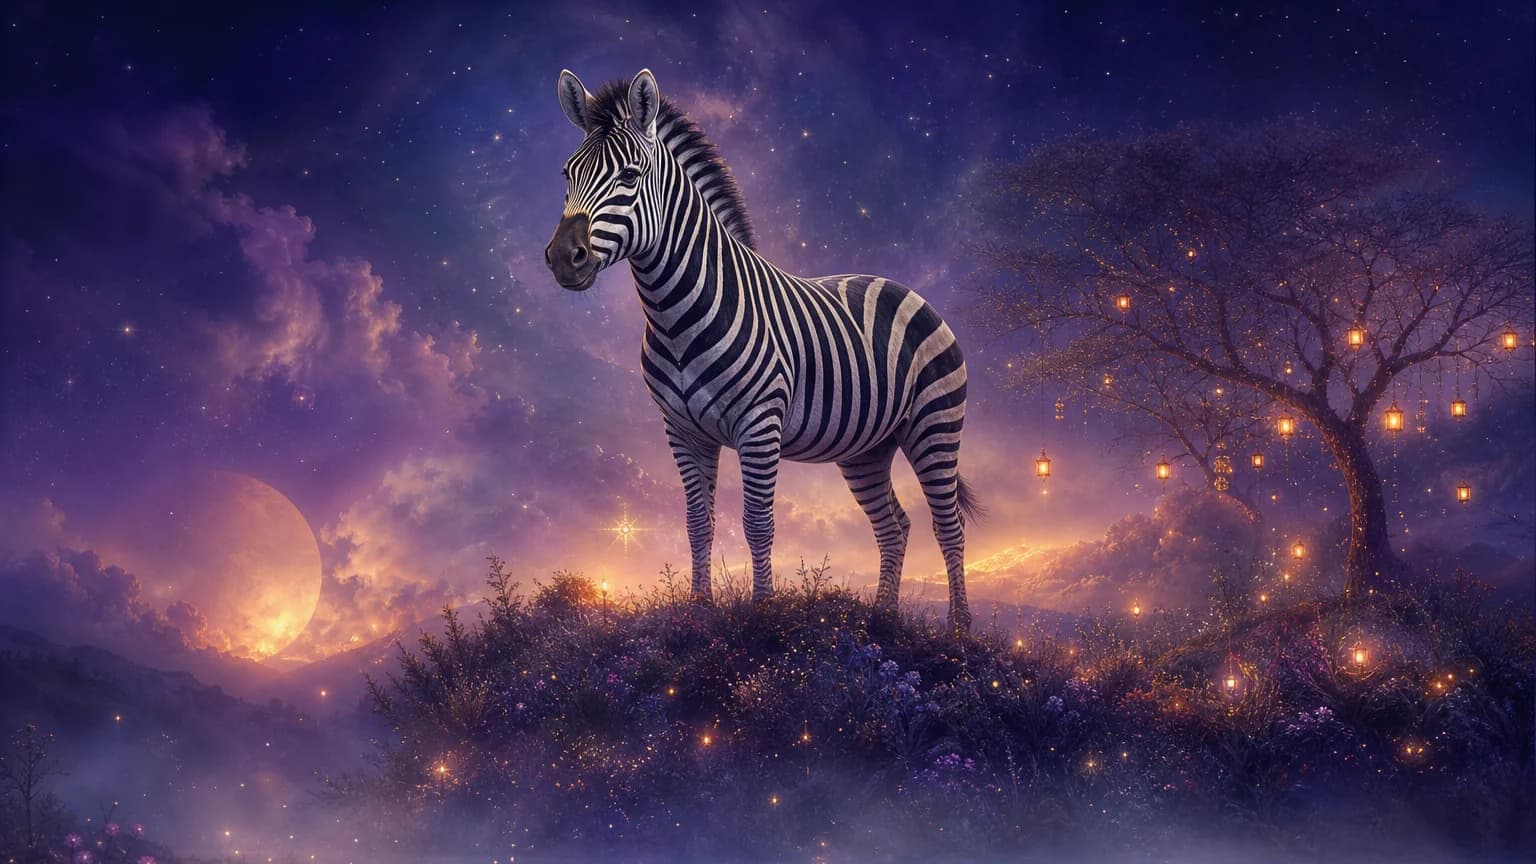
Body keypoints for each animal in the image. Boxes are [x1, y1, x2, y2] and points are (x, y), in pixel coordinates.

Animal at [544, 69, 980, 631]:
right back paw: (881, 620)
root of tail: (900, 286)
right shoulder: (682, 431)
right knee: (895, 525)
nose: (563, 258)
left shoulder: (759, 423)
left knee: (948, 524)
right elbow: (698, 522)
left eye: (630, 175)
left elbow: (757, 522)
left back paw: (959, 630)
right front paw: (700, 611)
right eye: (567, 174)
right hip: (867, 446)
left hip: (934, 425)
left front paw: (764, 612)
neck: (674, 314)